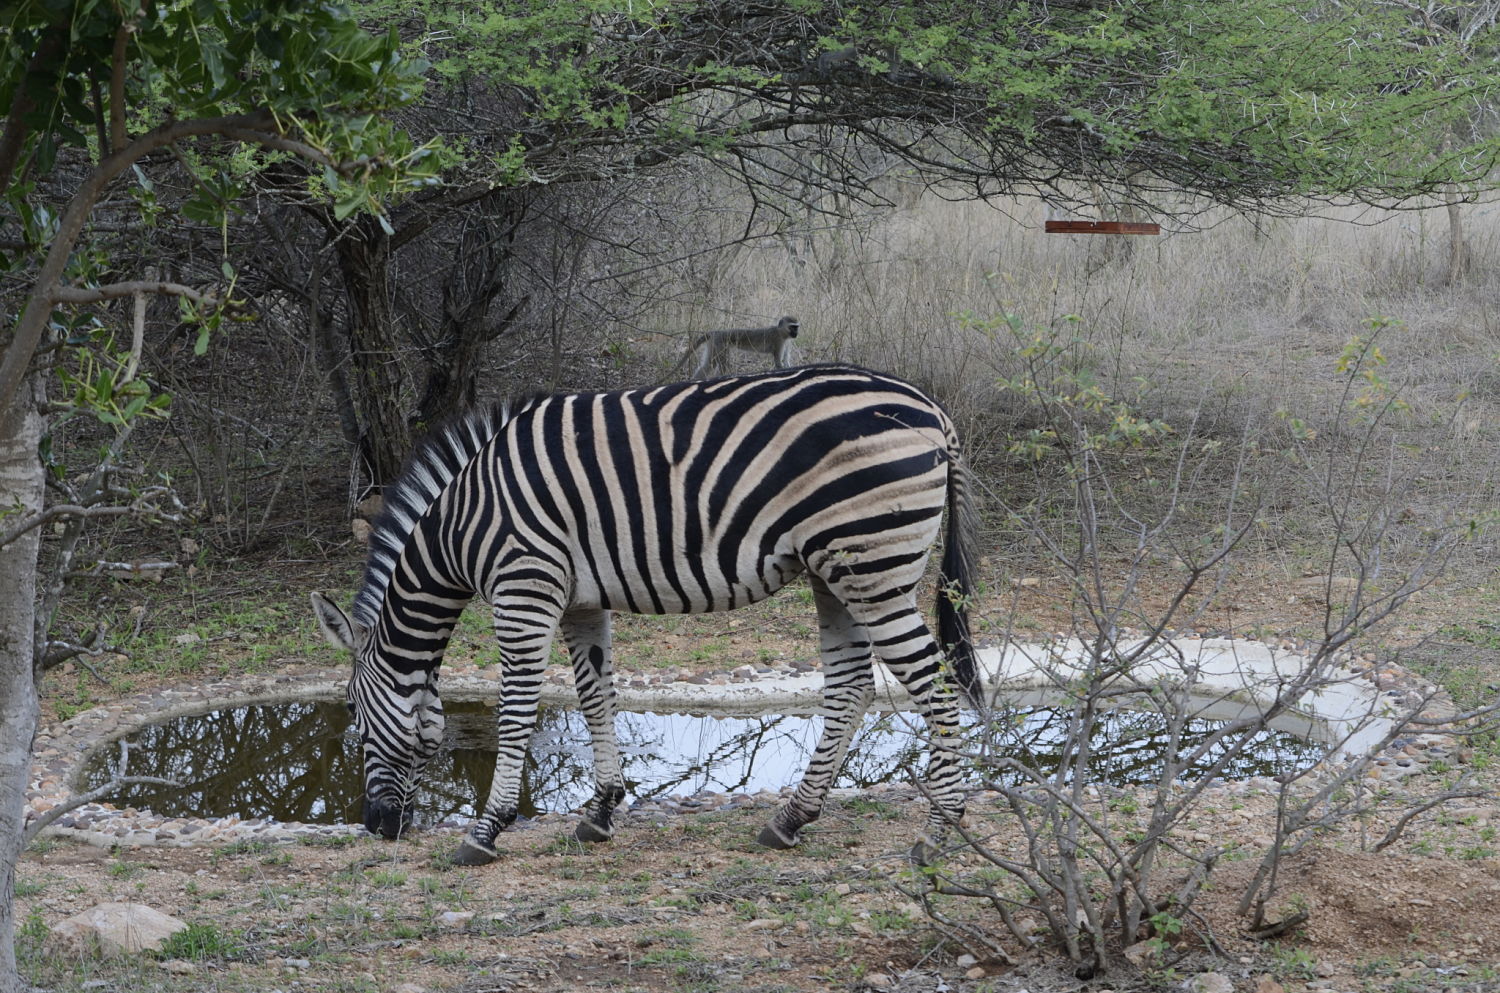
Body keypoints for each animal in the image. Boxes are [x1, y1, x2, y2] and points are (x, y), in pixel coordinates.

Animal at [311, 363, 979, 866]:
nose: (376, 827)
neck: (459, 527)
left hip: (873, 568)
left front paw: (486, 831)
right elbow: (595, 697)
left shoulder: (524, 587)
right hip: (834, 572)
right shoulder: (581, 600)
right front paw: (601, 812)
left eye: (352, 712)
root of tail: (933, 410)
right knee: (851, 684)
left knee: (936, 685)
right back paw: (791, 819)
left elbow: (516, 713)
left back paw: (940, 832)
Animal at [661, 316, 801, 382]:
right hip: (719, 345)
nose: (796, 333)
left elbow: (786, 361)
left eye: (797, 327)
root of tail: (715, 332)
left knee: (709, 364)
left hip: (714, 345)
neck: (782, 333)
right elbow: (778, 363)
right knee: (721, 365)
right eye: (793, 327)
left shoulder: (788, 343)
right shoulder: (778, 342)